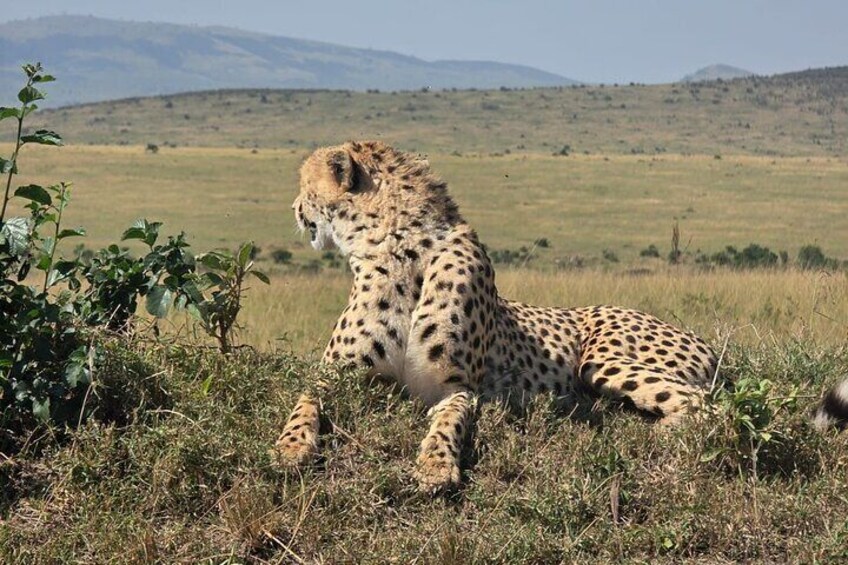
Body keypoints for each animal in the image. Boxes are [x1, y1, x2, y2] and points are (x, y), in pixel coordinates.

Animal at [275, 140, 848, 492]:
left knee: (711, 407)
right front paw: (291, 448)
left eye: (303, 183)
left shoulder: (457, 387)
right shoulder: (332, 374)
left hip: (602, 361)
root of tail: (700, 339)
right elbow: (303, 401)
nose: (293, 211)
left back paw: (641, 430)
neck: (398, 244)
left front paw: (436, 466)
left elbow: (448, 422)